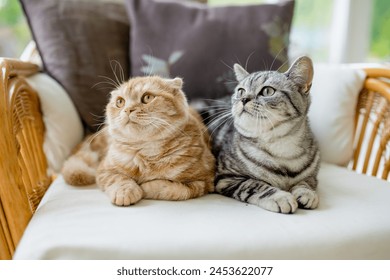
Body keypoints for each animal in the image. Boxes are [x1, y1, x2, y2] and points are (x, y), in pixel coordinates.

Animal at [61, 76, 215, 206]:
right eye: (120, 102)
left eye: (147, 97)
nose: (128, 109)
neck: (146, 152)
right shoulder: (105, 170)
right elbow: (120, 179)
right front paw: (126, 192)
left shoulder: (203, 182)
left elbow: (173, 189)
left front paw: (145, 187)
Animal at [201, 57, 320, 214]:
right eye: (241, 91)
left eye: (267, 91)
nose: (243, 99)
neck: (280, 145)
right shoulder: (226, 176)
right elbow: (255, 184)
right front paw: (280, 196)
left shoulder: (313, 173)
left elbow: (308, 181)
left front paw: (307, 192)